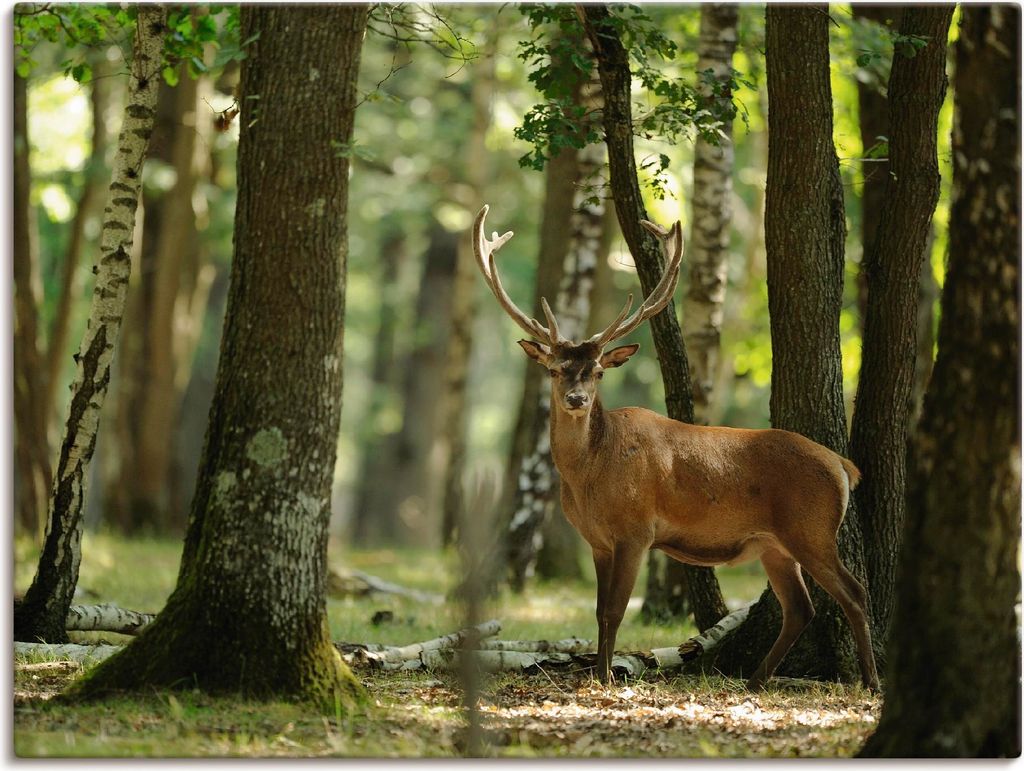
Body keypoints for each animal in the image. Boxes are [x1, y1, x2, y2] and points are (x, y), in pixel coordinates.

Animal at [473, 205, 880, 692]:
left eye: (598, 372)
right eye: (554, 369)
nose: (576, 399)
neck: (590, 476)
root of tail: (843, 465)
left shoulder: (636, 530)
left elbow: (614, 611)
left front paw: (606, 677)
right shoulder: (598, 540)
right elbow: (599, 611)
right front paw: (598, 672)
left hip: (812, 529)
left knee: (854, 592)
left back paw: (871, 681)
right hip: (774, 544)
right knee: (801, 606)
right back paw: (755, 679)